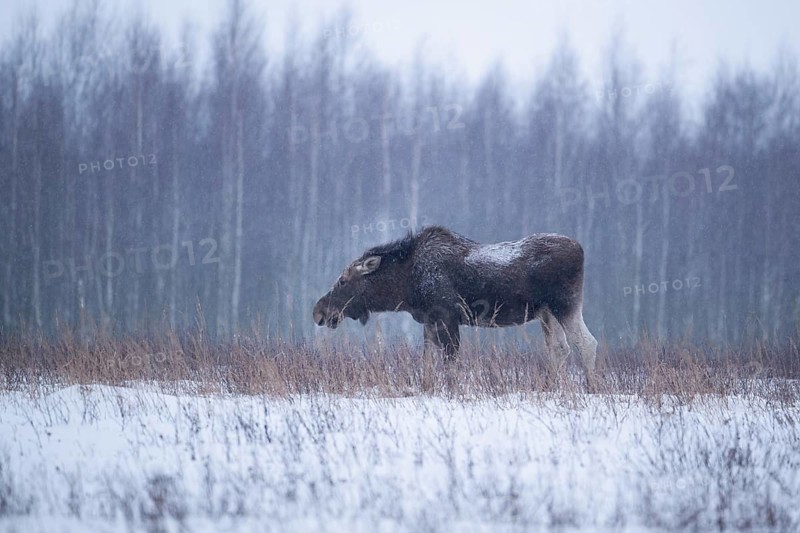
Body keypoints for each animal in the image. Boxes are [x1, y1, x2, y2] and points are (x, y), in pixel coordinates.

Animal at [312, 226, 597, 382]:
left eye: (342, 281)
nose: (318, 312)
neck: (406, 286)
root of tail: (581, 249)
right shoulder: (429, 320)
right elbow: (427, 362)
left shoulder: (448, 316)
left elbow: (450, 364)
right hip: (547, 313)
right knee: (560, 348)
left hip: (565, 304)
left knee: (586, 343)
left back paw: (590, 388)